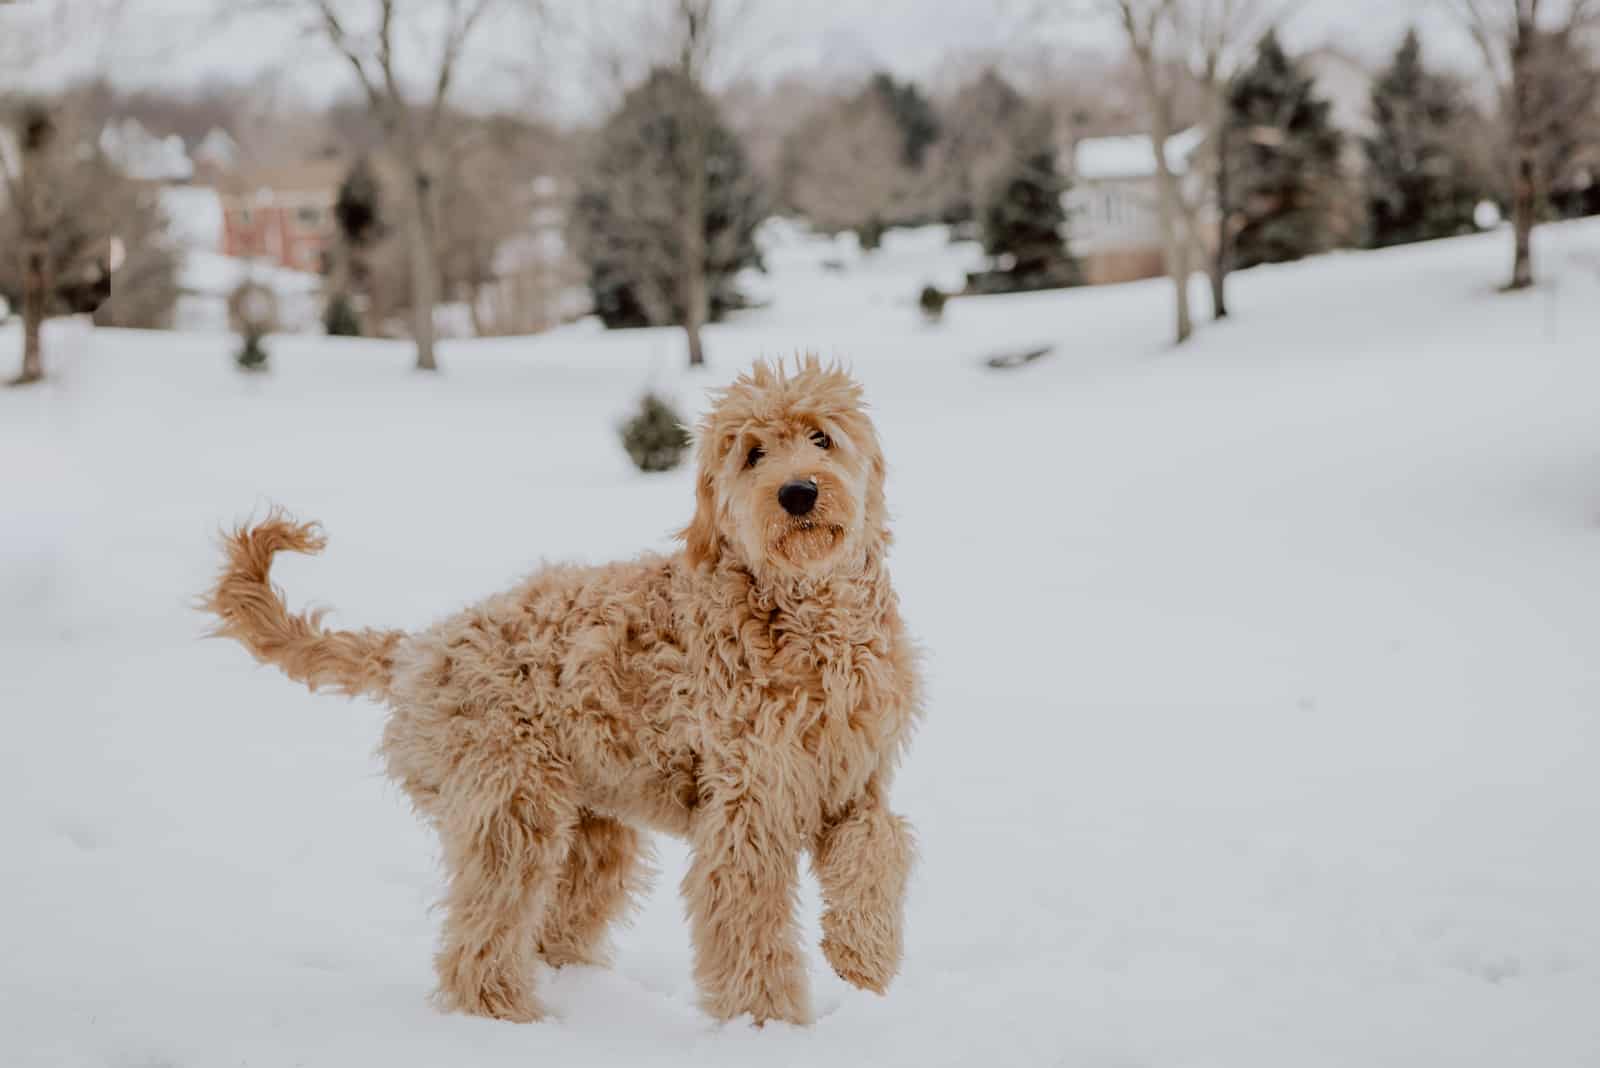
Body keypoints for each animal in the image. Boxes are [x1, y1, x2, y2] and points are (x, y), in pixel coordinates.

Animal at [206, 356, 921, 1023]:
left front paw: (864, 963)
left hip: (593, 822)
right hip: (510, 806)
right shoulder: (748, 806)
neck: (808, 621)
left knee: (556, 920)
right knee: (481, 933)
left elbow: (874, 856)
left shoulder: (856, 783)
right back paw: (506, 1014)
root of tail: (420, 647)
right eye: (753, 454)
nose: (797, 492)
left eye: (822, 438)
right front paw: (766, 1021)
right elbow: (749, 919)